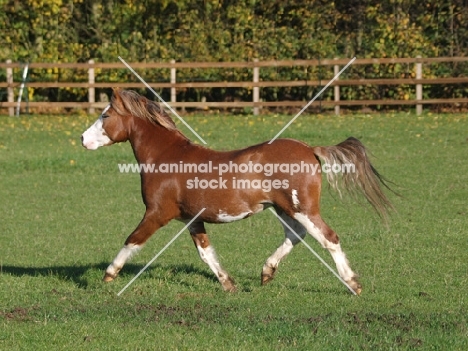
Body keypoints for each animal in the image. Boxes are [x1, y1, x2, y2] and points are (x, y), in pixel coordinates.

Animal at [82, 88, 394, 294]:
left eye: (105, 115)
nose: (83, 138)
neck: (166, 157)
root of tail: (310, 149)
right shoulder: (192, 219)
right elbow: (206, 253)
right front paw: (229, 284)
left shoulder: (158, 213)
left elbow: (132, 241)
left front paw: (108, 275)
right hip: (284, 208)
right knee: (296, 235)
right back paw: (266, 273)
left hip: (301, 208)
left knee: (328, 238)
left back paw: (352, 284)